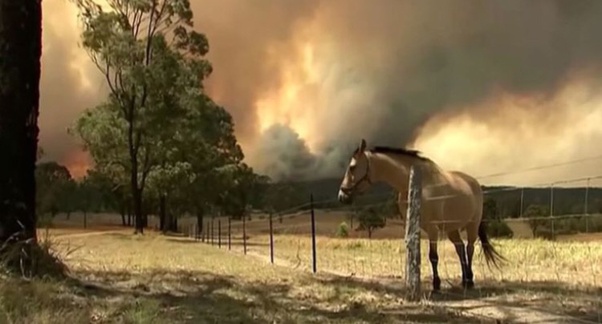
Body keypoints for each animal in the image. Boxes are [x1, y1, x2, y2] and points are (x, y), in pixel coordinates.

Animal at [336, 138, 504, 290]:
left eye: (352, 167)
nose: (341, 196)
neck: (417, 186)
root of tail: (474, 183)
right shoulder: (412, 226)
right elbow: (414, 252)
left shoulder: (432, 229)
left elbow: (433, 256)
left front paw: (436, 284)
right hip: (451, 228)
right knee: (460, 248)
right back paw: (464, 280)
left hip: (472, 226)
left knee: (469, 249)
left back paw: (469, 280)